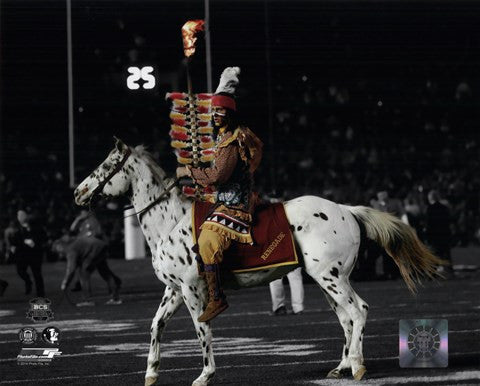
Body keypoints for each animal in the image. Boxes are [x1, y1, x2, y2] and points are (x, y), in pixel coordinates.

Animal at [73, 139, 444, 386]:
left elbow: (202, 330)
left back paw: (356, 365)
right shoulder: (174, 290)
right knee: (346, 318)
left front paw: (205, 374)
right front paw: (151, 372)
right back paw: (341, 366)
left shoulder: (192, 290)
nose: (78, 193)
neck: (171, 222)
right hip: (327, 279)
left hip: (331, 277)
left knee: (358, 310)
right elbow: (155, 326)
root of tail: (347, 209)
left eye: (105, 166)